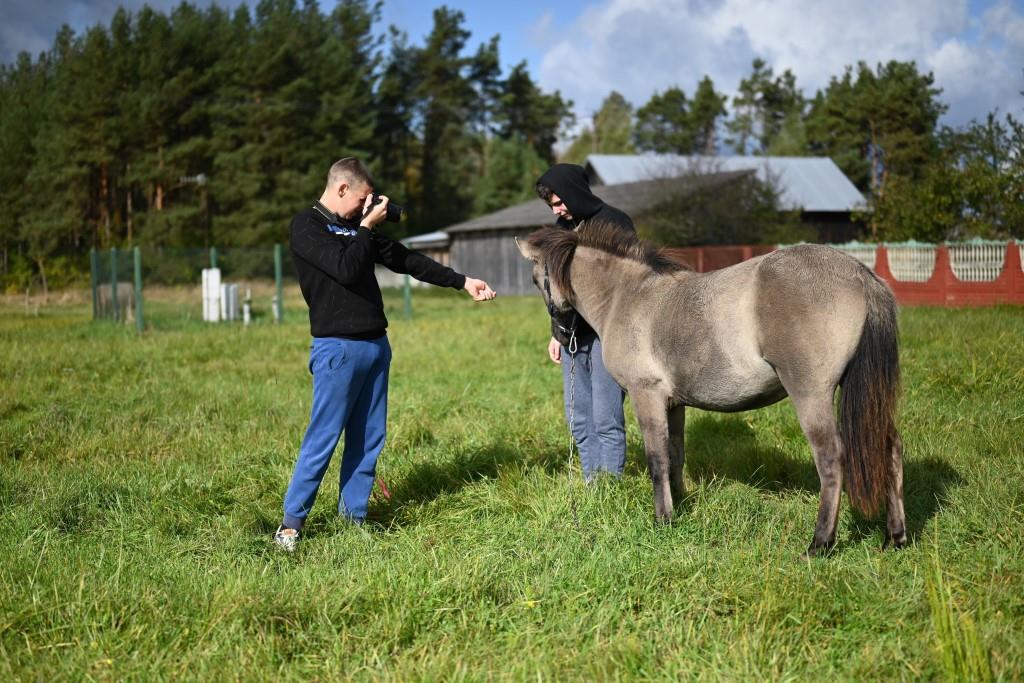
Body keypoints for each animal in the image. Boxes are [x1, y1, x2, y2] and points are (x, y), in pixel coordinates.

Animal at [520, 224, 905, 557]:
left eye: (537, 279)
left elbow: (657, 460)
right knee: (890, 449)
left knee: (830, 458)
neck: (627, 296)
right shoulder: (673, 404)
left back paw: (819, 544)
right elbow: (674, 456)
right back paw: (895, 537)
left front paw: (662, 520)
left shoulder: (647, 396)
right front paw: (678, 507)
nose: (561, 337)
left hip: (811, 394)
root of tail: (860, 274)